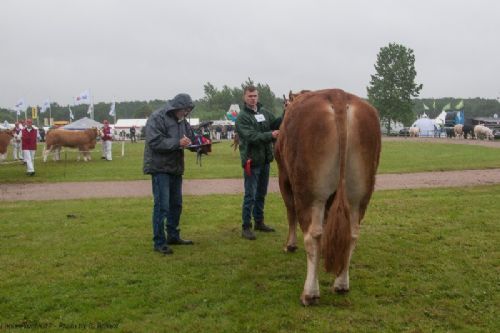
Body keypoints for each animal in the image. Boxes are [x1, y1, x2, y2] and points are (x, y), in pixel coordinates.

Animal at [276, 87, 380, 304]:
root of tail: (338, 96)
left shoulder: (284, 178)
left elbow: (290, 212)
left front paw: (290, 245)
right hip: (359, 194)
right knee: (352, 232)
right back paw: (341, 284)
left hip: (310, 191)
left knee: (313, 234)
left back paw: (310, 293)